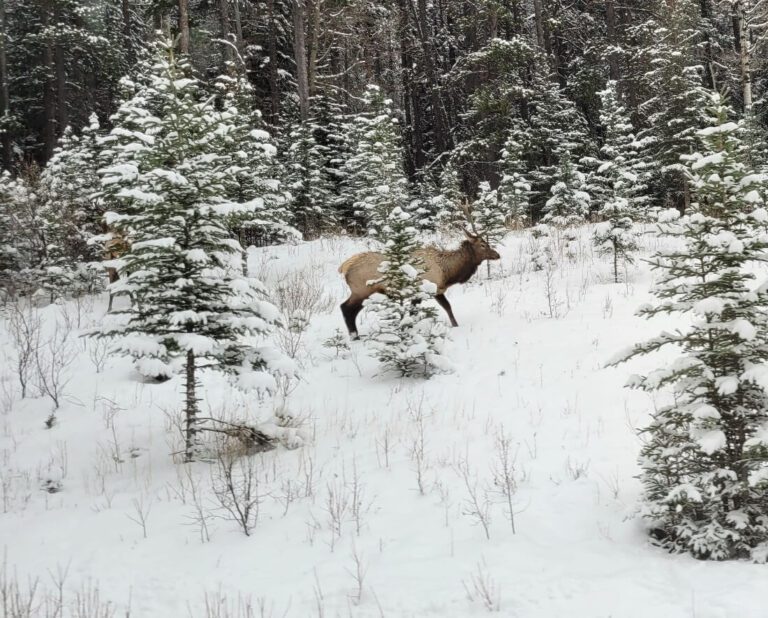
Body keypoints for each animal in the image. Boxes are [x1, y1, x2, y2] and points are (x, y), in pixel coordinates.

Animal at [340, 230, 500, 336]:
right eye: (483, 245)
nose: (497, 254)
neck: (447, 273)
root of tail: (344, 267)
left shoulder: (437, 291)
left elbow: (447, 307)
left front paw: (455, 325)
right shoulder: (423, 290)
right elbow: (417, 311)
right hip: (362, 291)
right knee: (346, 308)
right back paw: (355, 337)